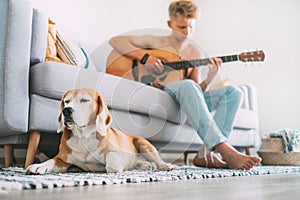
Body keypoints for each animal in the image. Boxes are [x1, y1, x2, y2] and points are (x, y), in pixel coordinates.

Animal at [26, 88, 176, 174]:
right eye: (66, 101)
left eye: (84, 100)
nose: (66, 111)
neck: (84, 136)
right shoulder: (62, 159)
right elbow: (51, 160)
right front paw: (39, 166)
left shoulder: (116, 155)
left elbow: (112, 162)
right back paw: (144, 165)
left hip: (144, 144)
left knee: (157, 160)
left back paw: (165, 166)